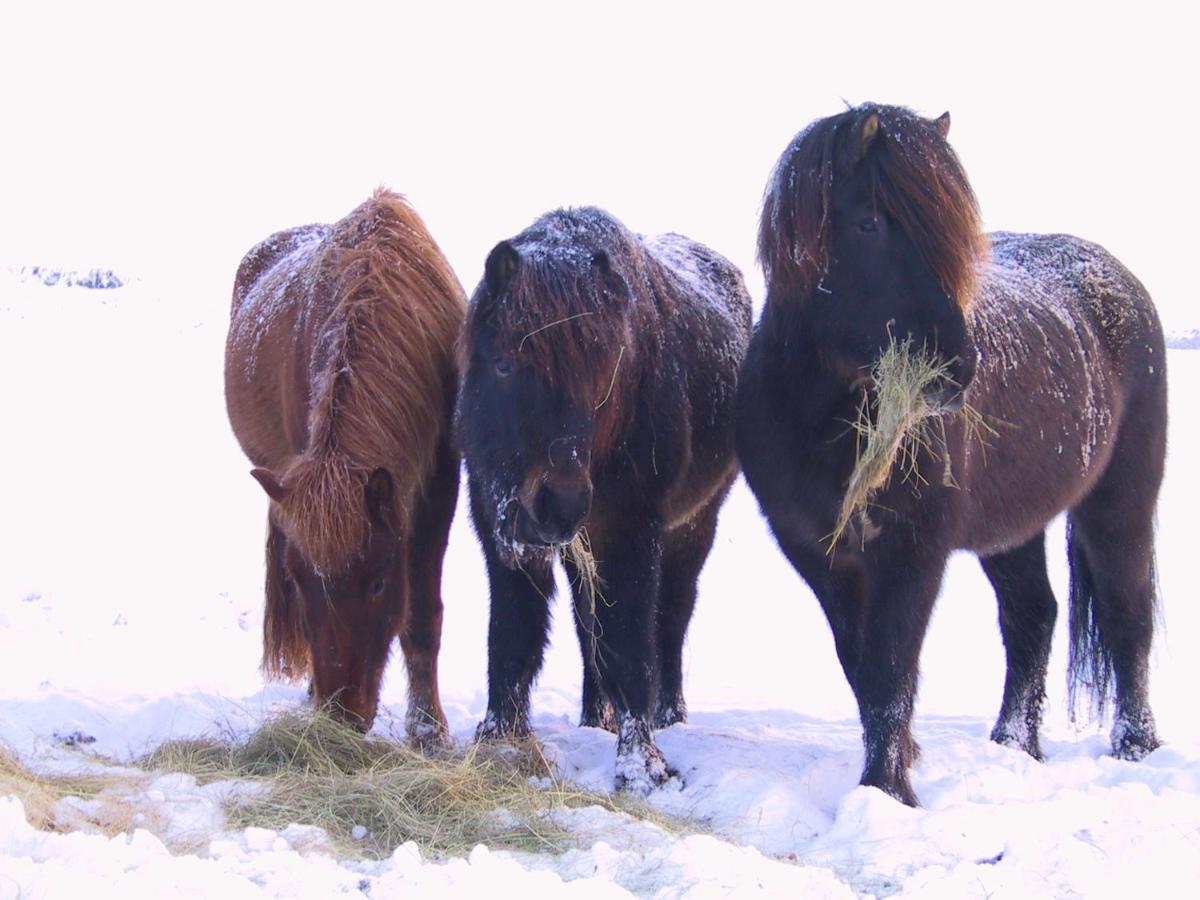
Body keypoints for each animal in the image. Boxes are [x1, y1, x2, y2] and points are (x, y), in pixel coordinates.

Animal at [223, 192, 465, 739]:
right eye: (298, 582)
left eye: (377, 582)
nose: (341, 715)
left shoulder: (438, 488)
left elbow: (423, 615)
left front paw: (428, 729)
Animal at [456, 207, 748, 792]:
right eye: (503, 364)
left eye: (604, 376)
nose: (557, 504)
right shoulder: (499, 528)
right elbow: (514, 637)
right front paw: (499, 740)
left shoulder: (632, 532)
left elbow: (632, 644)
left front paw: (643, 765)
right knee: (589, 624)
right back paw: (596, 718)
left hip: (693, 527)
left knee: (672, 619)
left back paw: (669, 716)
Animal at [734, 105, 1166, 811]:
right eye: (869, 222)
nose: (959, 370)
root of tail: (1117, 280)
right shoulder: (818, 554)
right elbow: (861, 666)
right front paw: (896, 771)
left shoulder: (913, 552)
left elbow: (891, 666)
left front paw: (888, 791)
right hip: (1013, 531)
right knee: (1033, 617)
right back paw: (1014, 746)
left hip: (1120, 503)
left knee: (1128, 616)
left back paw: (1134, 746)